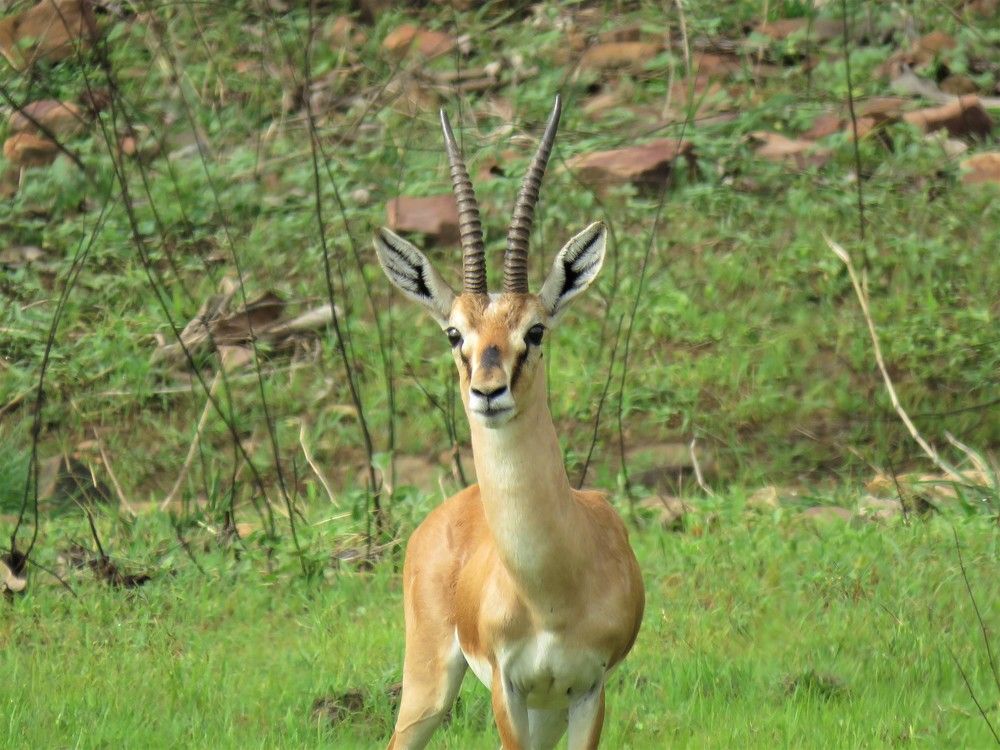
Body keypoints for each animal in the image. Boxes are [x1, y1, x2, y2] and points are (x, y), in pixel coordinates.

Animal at [374, 95, 644, 750]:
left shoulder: (588, 689)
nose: (488, 392)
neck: (550, 591)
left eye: (535, 330)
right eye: (454, 334)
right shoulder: (507, 686)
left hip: (545, 707)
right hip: (429, 687)